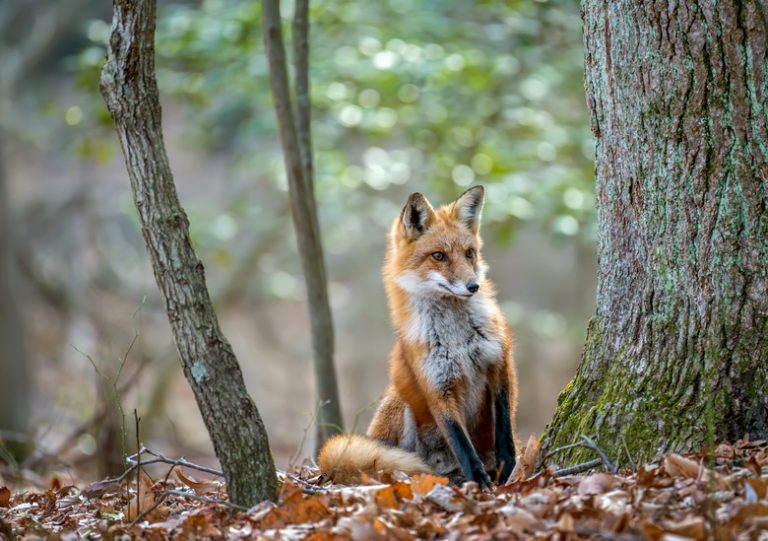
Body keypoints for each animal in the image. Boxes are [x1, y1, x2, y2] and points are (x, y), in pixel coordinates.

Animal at [318, 186, 516, 486]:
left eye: (469, 253)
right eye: (439, 256)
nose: (473, 286)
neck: (457, 338)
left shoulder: (499, 364)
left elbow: (505, 426)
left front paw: (507, 467)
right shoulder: (437, 385)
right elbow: (461, 442)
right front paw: (479, 481)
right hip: (402, 404)